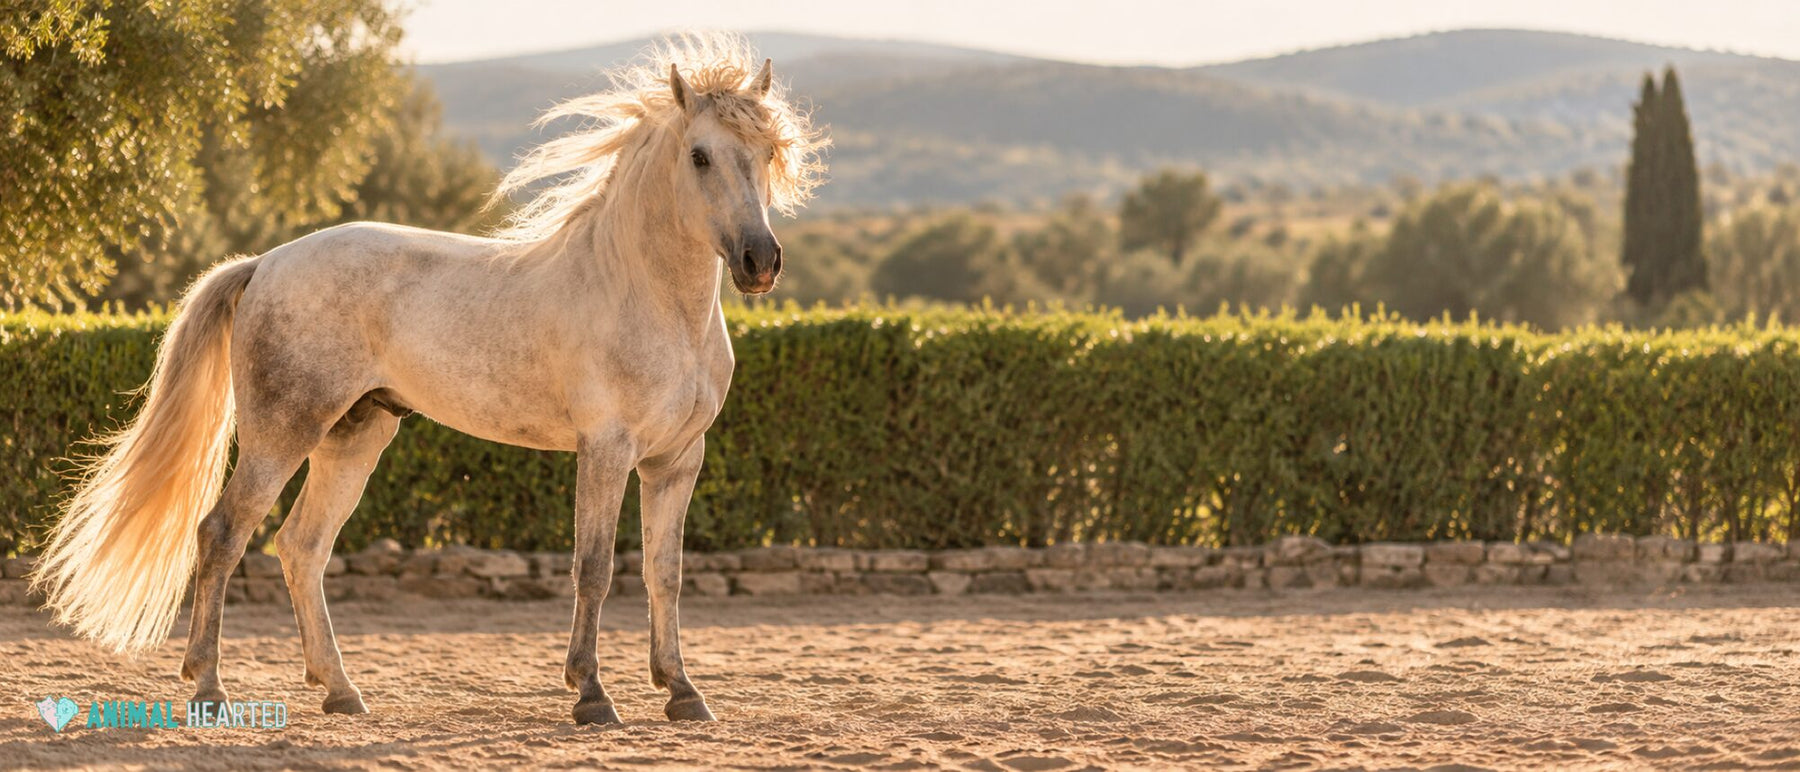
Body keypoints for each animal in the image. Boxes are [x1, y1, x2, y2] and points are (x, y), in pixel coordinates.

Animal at [29, 34, 827, 725]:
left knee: (301, 547)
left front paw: (683, 693)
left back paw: (341, 692)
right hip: (282, 434)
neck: (649, 298)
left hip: (355, 437)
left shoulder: (675, 461)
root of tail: (266, 263)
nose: (759, 261)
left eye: (768, 151)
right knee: (224, 533)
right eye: (699, 155)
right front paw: (591, 696)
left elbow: (666, 572)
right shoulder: (606, 452)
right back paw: (209, 689)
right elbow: (595, 568)